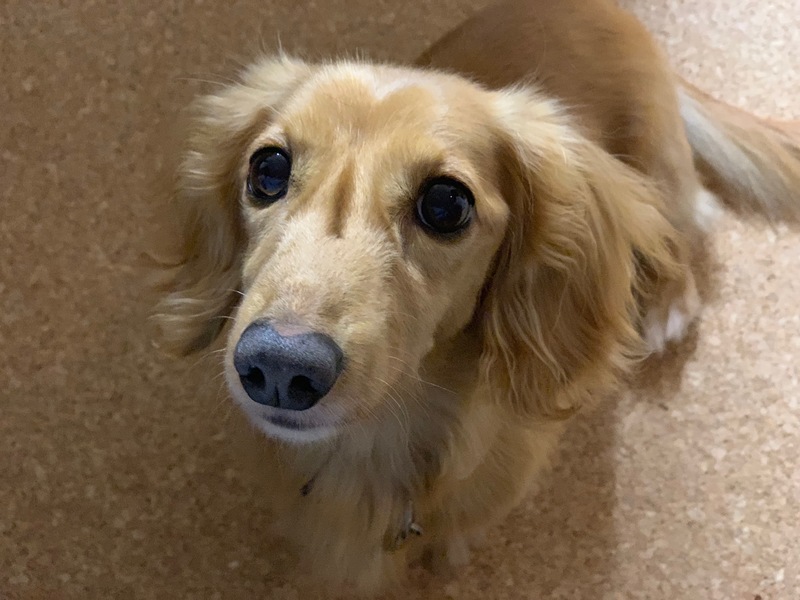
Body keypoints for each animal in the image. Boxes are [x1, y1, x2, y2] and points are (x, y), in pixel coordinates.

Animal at [153, 0, 800, 593]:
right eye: (267, 170)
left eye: (446, 204)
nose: (280, 367)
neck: (378, 446)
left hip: (656, 177)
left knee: (688, 226)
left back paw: (667, 305)